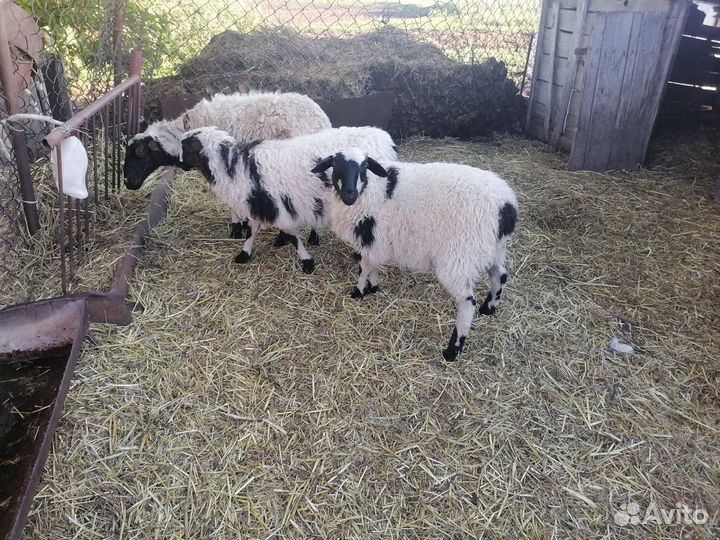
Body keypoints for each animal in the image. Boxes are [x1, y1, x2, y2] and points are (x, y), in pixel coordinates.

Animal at [180, 127, 399, 273]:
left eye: (186, 148)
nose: (180, 165)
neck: (236, 168)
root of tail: (386, 138)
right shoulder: (260, 203)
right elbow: (252, 230)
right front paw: (244, 254)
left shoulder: (275, 206)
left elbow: (292, 236)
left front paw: (307, 262)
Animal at [312, 147, 518, 361]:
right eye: (336, 165)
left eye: (364, 167)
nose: (349, 194)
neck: (370, 190)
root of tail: (506, 206)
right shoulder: (376, 240)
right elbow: (373, 264)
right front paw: (373, 287)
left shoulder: (370, 237)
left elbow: (364, 267)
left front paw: (358, 291)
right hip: (493, 249)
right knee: (500, 275)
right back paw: (489, 308)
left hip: (459, 258)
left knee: (467, 302)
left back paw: (453, 349)